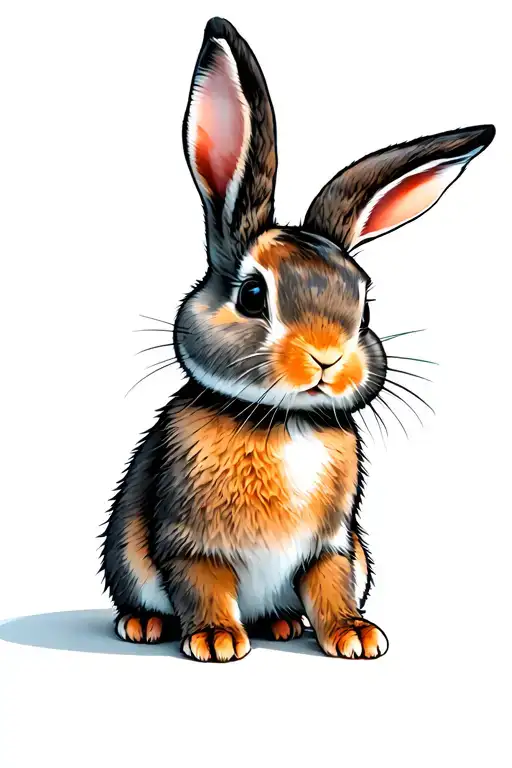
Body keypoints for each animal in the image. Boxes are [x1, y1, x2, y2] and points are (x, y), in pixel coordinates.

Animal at [100, 16, 495, 661]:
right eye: (253, 295)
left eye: (365, 302)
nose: (327, 359)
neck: (285, 420)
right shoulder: (190, 543)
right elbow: (202, 584)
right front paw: (215, 640)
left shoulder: (332, 543)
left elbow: (331, 585)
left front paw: (357, 636)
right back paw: (147, 625)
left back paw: (283, 625)